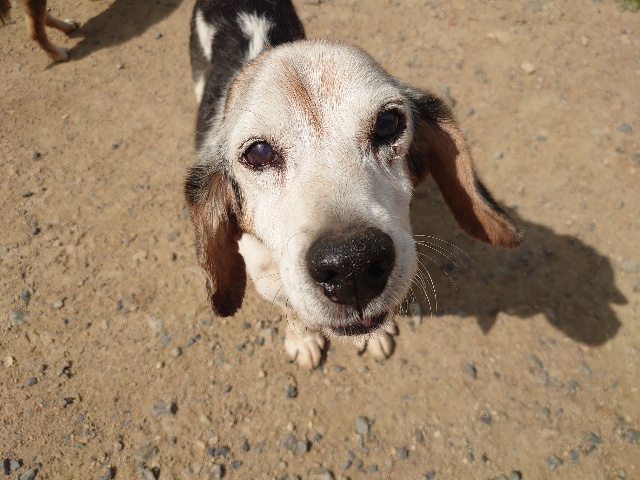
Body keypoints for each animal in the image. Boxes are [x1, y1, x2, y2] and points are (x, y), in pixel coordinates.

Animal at [186, 0, 523, 369]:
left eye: (388, 122)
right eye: (258, 153)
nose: (352, 264)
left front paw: (374, 335)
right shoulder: (269, 281)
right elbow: (294, 312)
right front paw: (303, 339)